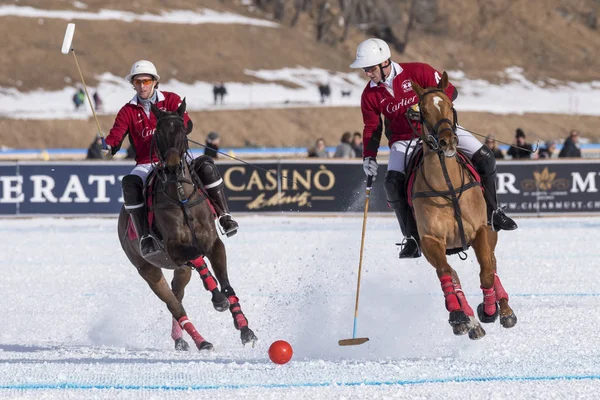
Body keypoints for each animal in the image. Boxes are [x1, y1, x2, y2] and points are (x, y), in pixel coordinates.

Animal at [118, 101, 256, 352]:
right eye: (158, 133)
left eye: (183, 131)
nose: (173, 168)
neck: (180, 194)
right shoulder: (174, 248)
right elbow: (199, 260)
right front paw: (218, 300)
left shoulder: (214, 243)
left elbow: (226, 283)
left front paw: (245, 329)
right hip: (148, 269)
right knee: (174, 304)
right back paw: (201, 341)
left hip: (180, 270)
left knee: (178, 293)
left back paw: (182, 339)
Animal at [410, 72, 516, 340]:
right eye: (422, 110)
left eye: (450, 104)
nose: (447, 141)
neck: (447, 185)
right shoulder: (430, 241)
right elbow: (447, 274)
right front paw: (460, 317)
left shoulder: (480, 230)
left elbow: (486, 273)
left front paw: (489, 310)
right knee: (452, 273)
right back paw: (467, 320)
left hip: (491, 231)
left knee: (492, 264)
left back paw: (504, 310)